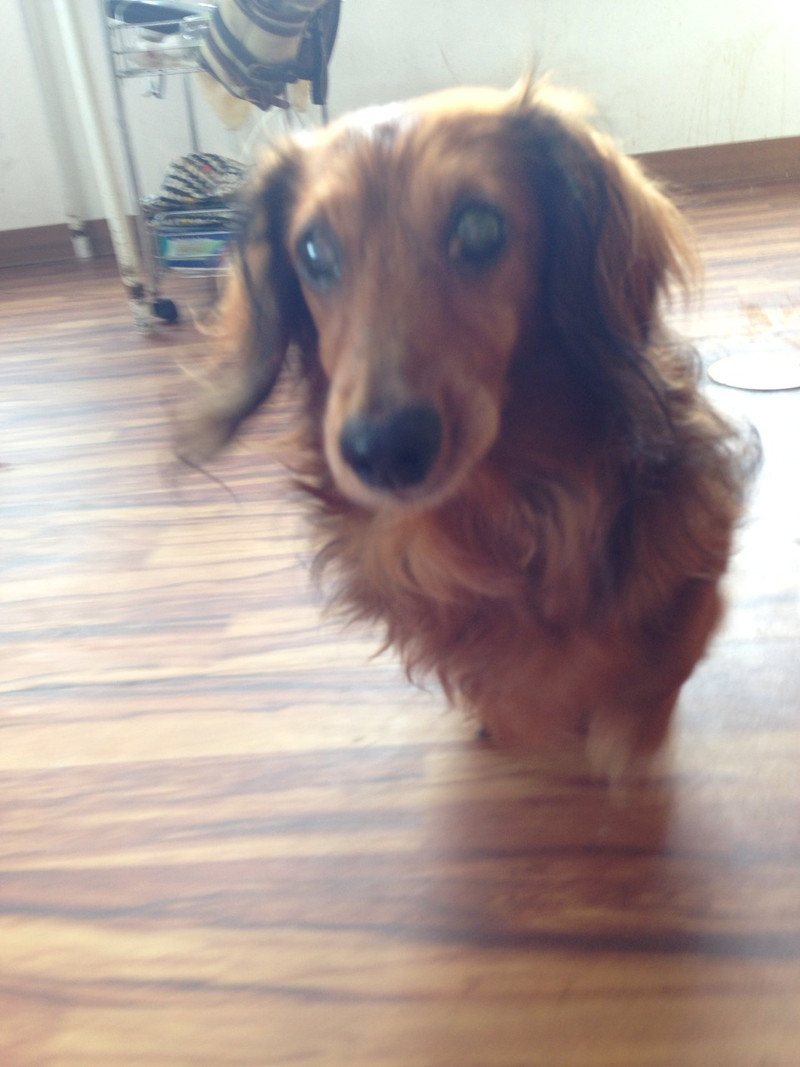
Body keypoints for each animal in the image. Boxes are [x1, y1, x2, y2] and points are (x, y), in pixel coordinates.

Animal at [176, 79, 755, 777]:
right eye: (312, 251)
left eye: (480, 228)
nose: (383, 452)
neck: (505, 519)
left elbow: (654, 677)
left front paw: (626, 739)